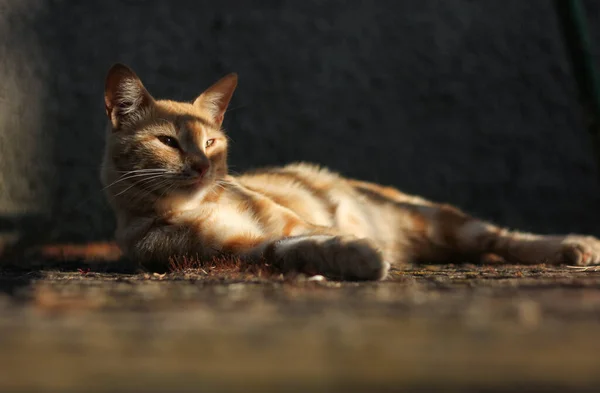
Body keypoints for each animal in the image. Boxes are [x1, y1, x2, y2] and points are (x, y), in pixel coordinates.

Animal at [101, 63, 600, 278]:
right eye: (168, 142)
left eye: (210, 142)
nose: (203, 165)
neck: (190, 208)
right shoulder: (243, 248)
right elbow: (297, 247)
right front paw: (358, 256)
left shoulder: (289, 219)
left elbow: (320, 231)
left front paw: (360, 249)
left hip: (439, 218)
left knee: (504, 238)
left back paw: (576, 246)